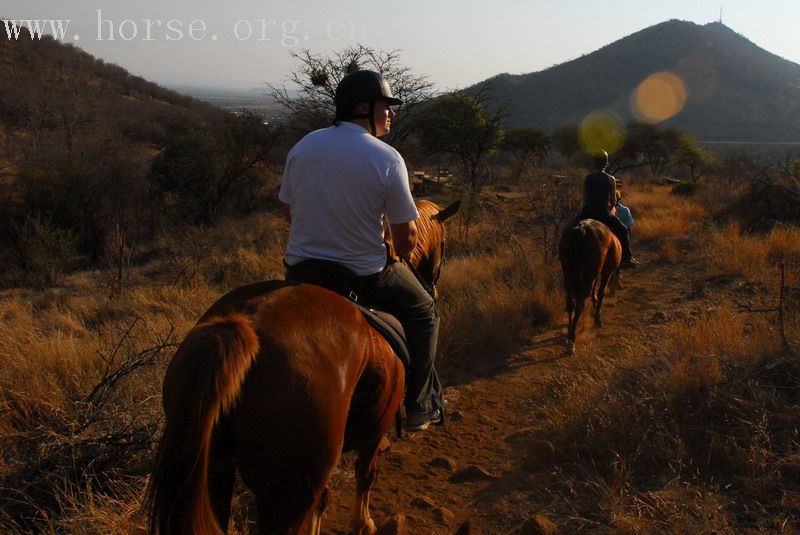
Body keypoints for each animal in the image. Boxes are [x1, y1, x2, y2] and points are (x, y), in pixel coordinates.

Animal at [142, 201, 456, 535]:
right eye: (444, 243)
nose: (434, 290)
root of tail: (242, 326)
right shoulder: (375, 430)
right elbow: (365, 474)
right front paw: (364, 523)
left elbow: (325, 499)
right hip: (286, 491)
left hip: (216, 470)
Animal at [560, 218, 620, 356]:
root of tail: (581, 231)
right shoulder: (607, 272)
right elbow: (602, 292)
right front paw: (597, 319)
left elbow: (594, 289)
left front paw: (594, 300)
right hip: (588, 273)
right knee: (579, 304)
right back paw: (572, 340)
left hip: (568, 273)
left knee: (570, 302)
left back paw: (569, 334)